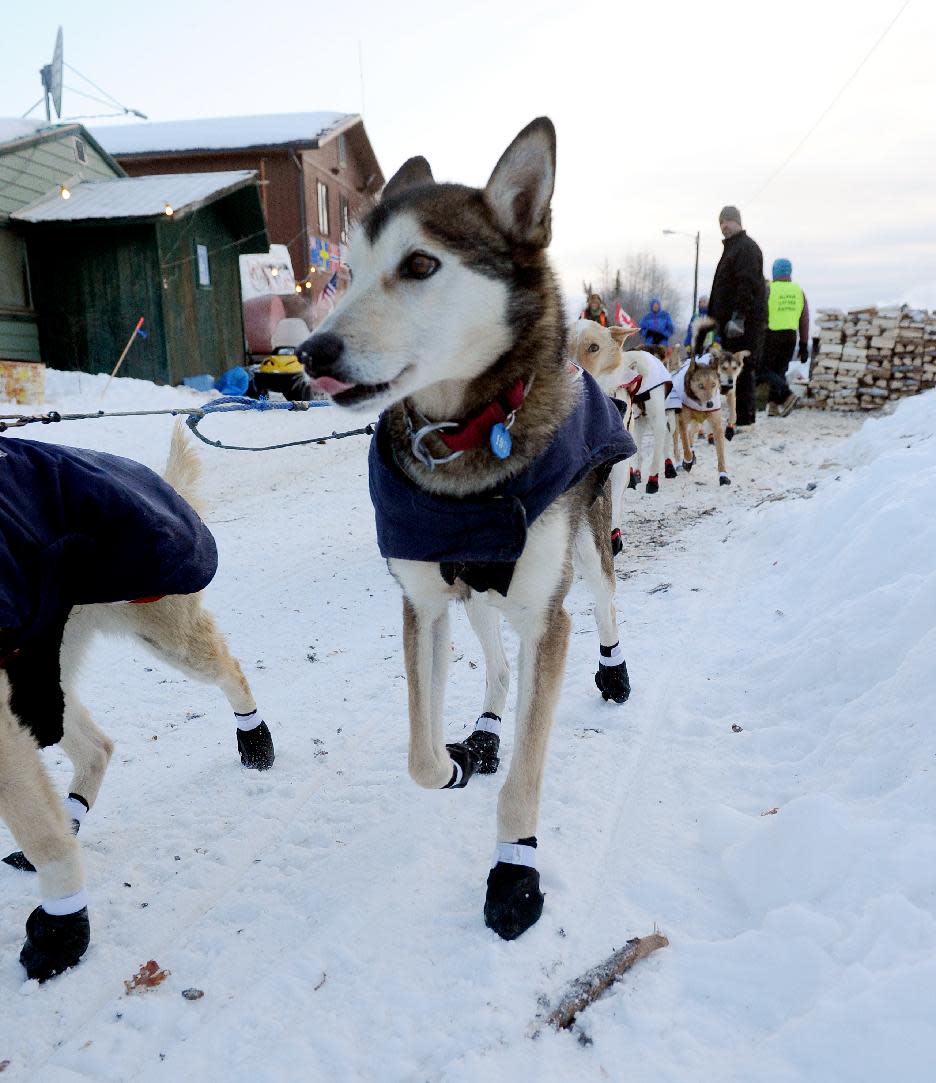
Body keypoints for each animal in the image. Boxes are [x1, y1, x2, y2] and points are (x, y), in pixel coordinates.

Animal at [0, 424, 270, 983]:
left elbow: (44, 840)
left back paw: (255, 740)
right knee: (97, 748)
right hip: (45, 687)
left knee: (230, 670)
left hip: (168, 638)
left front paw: (61, 932)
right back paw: (72, 817)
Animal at [299, 114, 637, 935]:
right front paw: (456, 763)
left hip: (586, 547)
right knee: (497, 665)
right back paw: (483, 734)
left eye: (420, 263)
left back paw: (614, 673)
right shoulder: (424, 601)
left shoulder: (547, 615)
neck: (462, 446)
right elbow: (420, 758)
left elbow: (526, 777)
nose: (310, 351)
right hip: (479, 596)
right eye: (348, 271)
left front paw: (515, 871)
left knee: (606, 606)